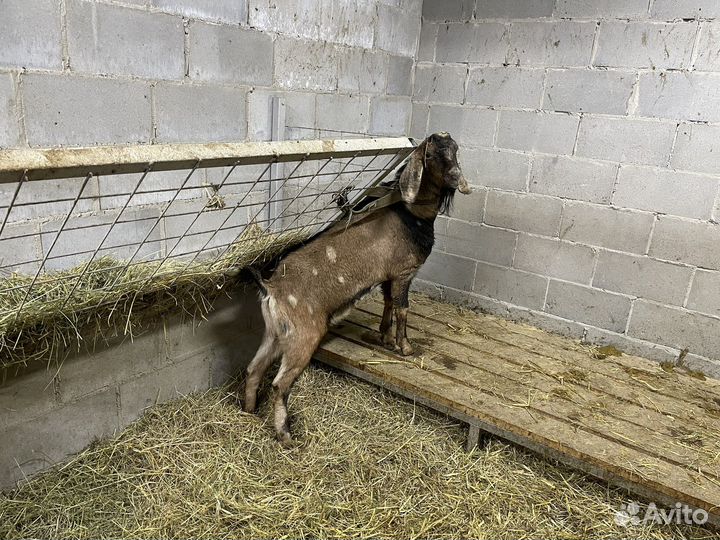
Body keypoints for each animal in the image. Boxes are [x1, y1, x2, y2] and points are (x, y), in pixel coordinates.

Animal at [243, 132, 471, 446]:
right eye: (432, 155)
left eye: (455, 150)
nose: (454, 178)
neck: (410, 212)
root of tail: (270, 288)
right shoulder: (404, 273)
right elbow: (403, 308)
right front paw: (406, 348)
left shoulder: (389, 276)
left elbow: (388, 304)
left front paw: (384, 338)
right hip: (304, 336)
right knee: (280, 384)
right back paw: (285, 434)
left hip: (275, 333)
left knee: (254, 369)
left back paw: (249, 411)